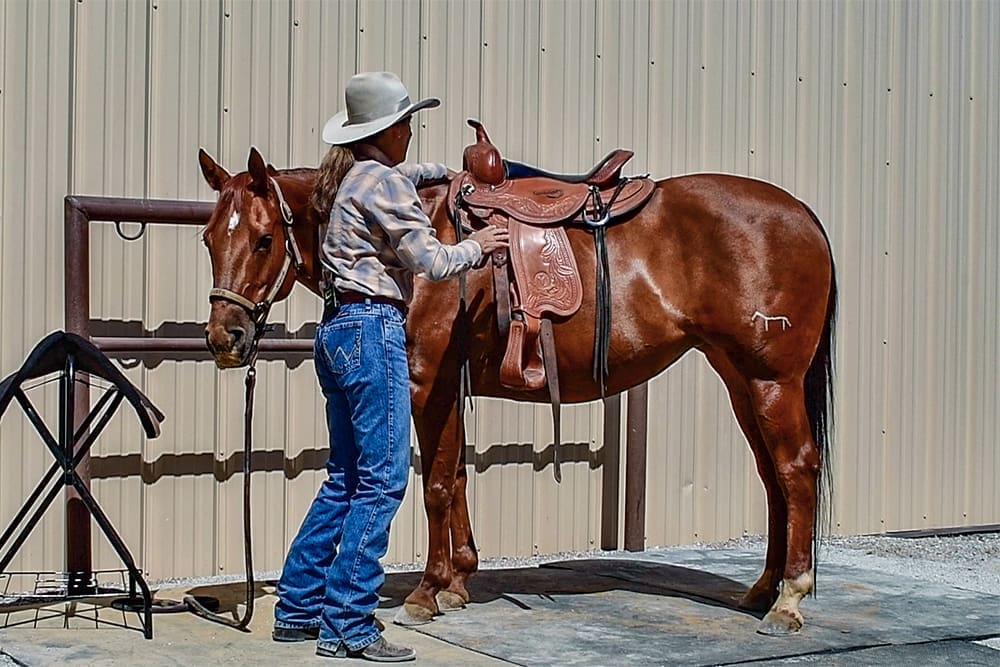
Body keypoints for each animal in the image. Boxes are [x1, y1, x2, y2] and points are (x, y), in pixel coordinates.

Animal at [197, 144, 836, 636]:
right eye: (208, 238)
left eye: (262, 239)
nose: (225, 337)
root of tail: (803, 212)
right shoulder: (447, 387)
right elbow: (454, 477)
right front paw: (457, 582)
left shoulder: (429, 381)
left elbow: (435, 485)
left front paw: (426, 592)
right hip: (741, 379)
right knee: (773, 477)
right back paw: (762, 589)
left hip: (772, 381)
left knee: (796, 470)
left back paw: (789, 599)